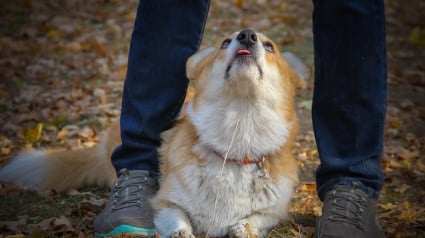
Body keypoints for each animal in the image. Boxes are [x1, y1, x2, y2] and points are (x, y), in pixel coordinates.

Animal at [0, 29, 302, 238]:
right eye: (225, 42)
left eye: (270, 46)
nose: (247, 36)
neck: (238, 129)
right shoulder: (164, 202)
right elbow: (176, 218)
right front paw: (181, 232)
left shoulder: (274, 212)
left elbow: (254, 219)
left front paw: (242, 227)